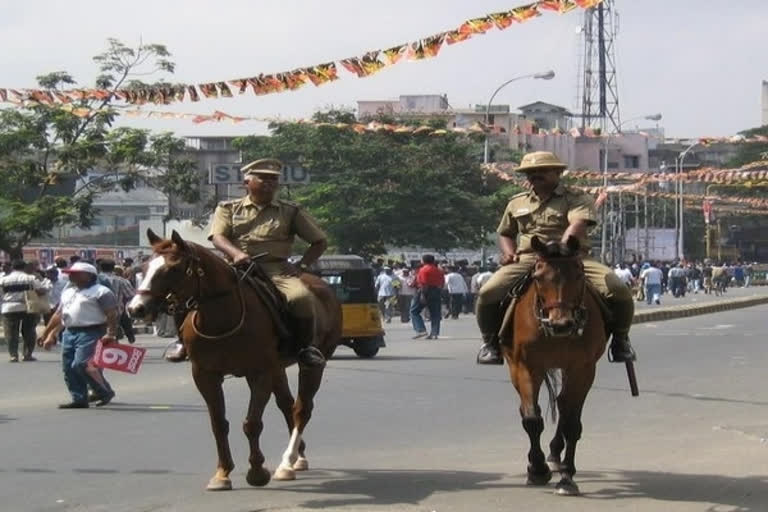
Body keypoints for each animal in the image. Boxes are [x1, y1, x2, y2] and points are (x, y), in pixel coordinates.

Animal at [127, 230, 340, 490]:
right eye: (144, 267)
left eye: (173, 269)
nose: (135, 309)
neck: (222, 317)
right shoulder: (204, 374)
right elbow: (219, 423)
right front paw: (222, 472)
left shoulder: (259, 373)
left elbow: (252, 423)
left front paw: (257, 472)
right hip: (277, 367)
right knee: (286, 404)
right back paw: (297, 457)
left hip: (313, 363)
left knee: (301, 409)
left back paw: (288, 462)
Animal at [500, 235, 608, 496]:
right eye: (539, 277)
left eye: (578, 274)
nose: (561, 324)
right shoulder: (526, 366)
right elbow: (532, 419)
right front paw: (537, 469)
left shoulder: (583, 368)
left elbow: (571, 423)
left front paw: (567, 478)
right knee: (534, 408)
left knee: (564, 404)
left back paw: (556, 453)